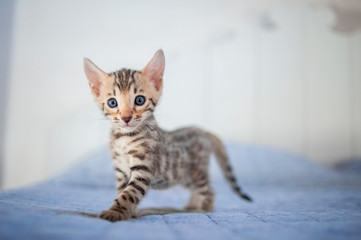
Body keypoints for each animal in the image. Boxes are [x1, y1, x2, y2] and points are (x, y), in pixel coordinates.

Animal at [83, 49, 250, 222]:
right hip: (184, 176)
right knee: (197, 190)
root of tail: (202, 131)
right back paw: (191, 205)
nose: (126, 118)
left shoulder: (143, 169)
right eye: (112, 103)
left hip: (195, 173)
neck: (124, 139)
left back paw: (203, 210)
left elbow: (129, 193)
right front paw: (130, 214)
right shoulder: (121, 172)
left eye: (139, 100)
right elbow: (122, 191)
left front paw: (115, 212)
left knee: (209, 190)